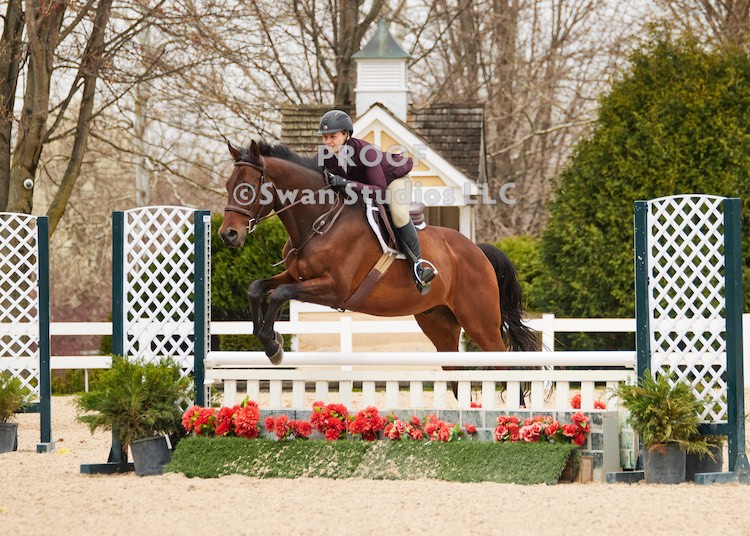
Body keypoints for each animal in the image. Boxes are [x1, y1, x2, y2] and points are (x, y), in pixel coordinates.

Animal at [218, 140, 539, 374]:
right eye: (228, 186)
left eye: (248, 189)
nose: (227, 235)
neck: (320, 221)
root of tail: (478, 250)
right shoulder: (296, 276)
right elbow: (257, 287)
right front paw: (267, 337)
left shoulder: (334, 289)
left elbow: (279, 294)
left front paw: (273, 347)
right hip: (439, 323)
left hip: (481, 322)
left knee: (505, 364)